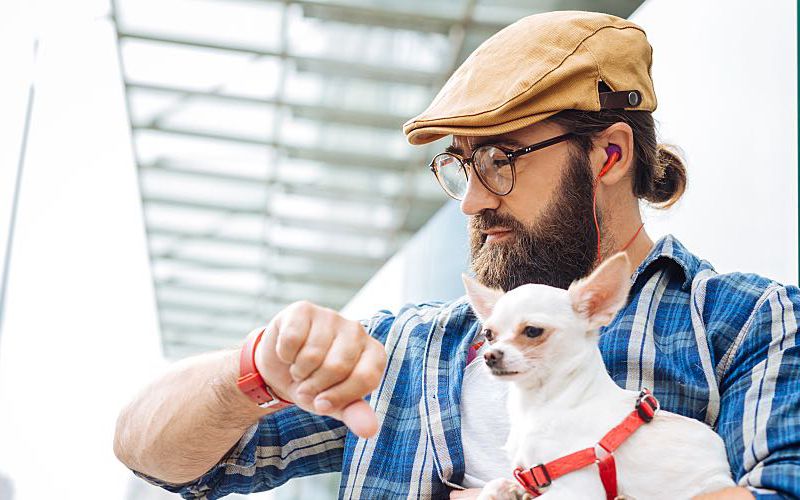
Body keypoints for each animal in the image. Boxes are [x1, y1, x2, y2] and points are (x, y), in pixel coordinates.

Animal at [462, 256, 732, 498]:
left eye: (532, 331)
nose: (490, 356)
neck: (539, 405)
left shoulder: (575, 490)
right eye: (488, 334)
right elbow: (495, 485)